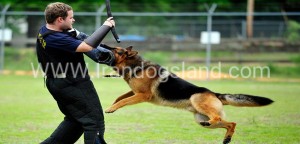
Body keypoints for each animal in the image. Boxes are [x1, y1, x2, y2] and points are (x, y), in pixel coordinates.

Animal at [101, 44, 274, 144]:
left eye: (116, 49)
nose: (102, 44)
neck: (136, 65)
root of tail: (215, 94)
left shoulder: (143, 95)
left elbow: (123, 101)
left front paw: (111, 108)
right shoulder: (134, 92)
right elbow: (120, 98)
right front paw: (111, 106)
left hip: (196, 100)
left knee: (218, 118)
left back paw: (216, 127)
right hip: (200, 118)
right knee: (231, 123)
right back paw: (227, 138)